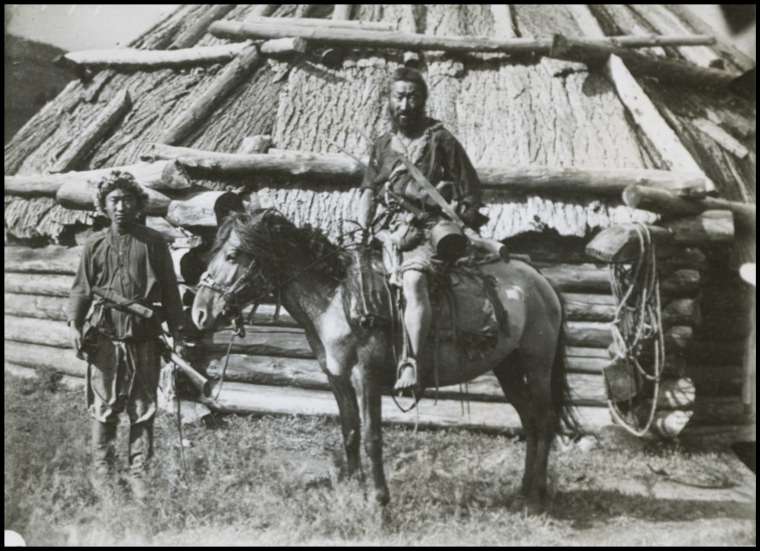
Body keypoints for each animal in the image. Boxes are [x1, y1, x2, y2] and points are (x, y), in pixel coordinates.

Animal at [193, 209, 580, 516]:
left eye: (233, 254)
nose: (199, 313)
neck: (338, 298)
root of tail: (542, 283)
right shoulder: (336, 378)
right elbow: (350, 431)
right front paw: (354, 488)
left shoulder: (366, 378)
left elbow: (371, 437)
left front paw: (379, 500)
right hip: (508, 367)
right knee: (530, 422)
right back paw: (524, 490)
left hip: (536, 365)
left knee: (545, 420)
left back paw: (536, 495)